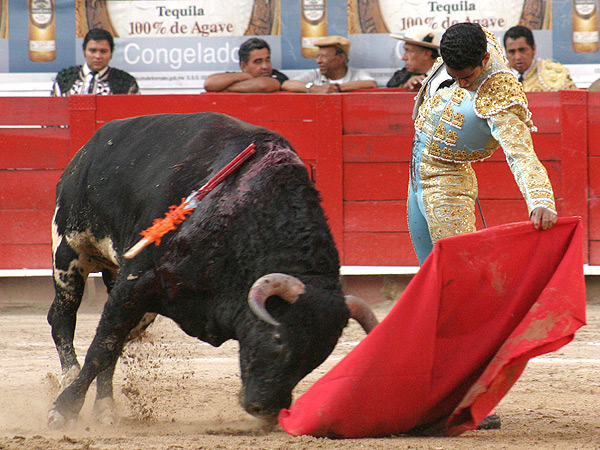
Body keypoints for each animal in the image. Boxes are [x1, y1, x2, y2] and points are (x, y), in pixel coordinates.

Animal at [47, 112, 378, 428]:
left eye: (317, 358)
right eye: (278, 339)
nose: (268, 409)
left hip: (132, 297)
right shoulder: (137, 281)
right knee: (62, 318)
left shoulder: (137, 293)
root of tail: (88, 147)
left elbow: (111, 345)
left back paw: (106, 408)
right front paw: (62, 411)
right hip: (70, 251)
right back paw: (69, 380)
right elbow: (102, 347)